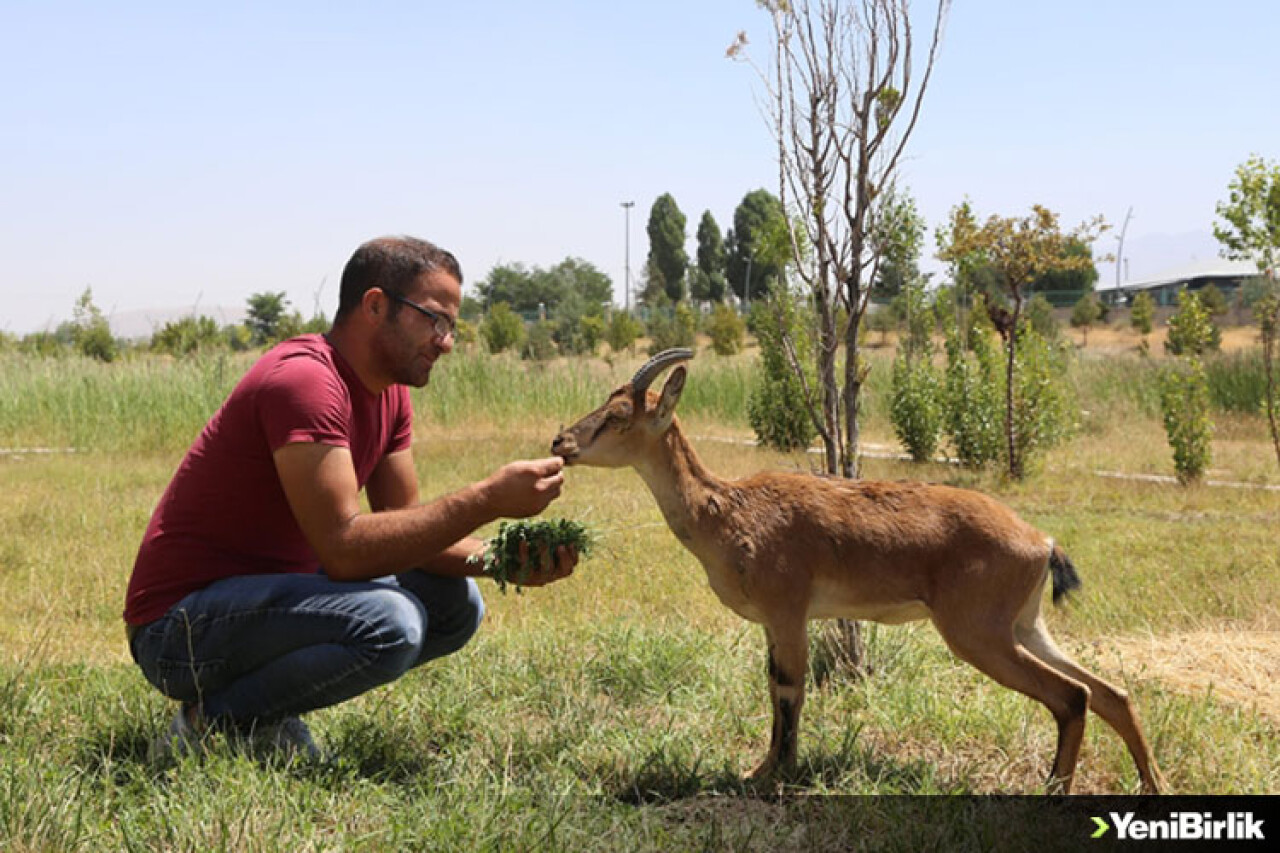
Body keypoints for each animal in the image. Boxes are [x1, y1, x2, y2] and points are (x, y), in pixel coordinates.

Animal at [545, 345, 1167, 788]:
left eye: (620, 415)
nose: (560, 442)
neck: (729, 511)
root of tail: (1040, 541)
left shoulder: (789, 613)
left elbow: (790, 689)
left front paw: (776, 775)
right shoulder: (775, 623)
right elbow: (775, 687)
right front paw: (761, 767)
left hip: (979, 634)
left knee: (1073, 696)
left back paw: (1054, 790)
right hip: (1025, 627)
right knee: (1112, 694)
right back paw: (1151, 785)